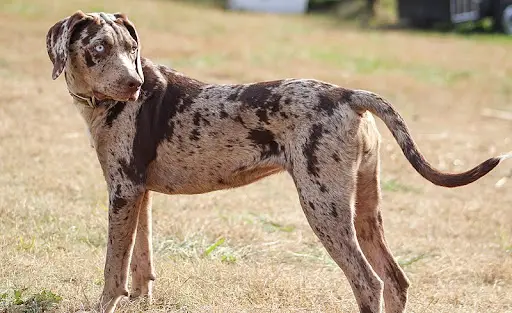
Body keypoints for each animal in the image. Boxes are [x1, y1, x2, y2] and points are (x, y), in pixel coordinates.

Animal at [46, 10, 510, 312]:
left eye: (131, 49)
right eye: (100, 48)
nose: (134, 84)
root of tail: (348, 94)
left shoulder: (123, 191)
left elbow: (113, 269)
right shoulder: (139, 193)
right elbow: (140, 264)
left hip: (323, 207)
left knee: (368, 283)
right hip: (364, 209)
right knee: (395, 280)